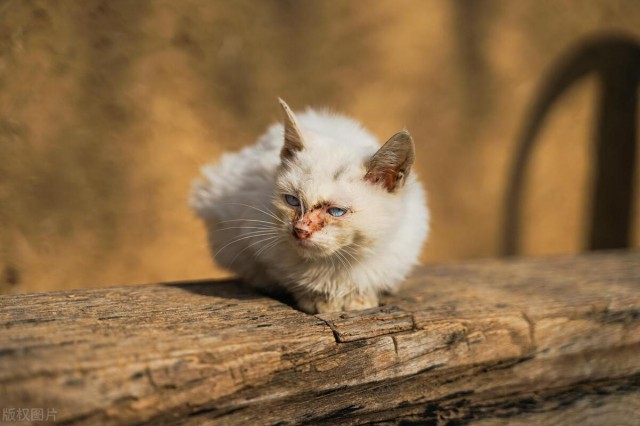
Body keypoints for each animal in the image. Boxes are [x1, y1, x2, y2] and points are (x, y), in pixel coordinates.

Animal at [191, 99, 430, 312]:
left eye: (336, 211)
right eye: (292, 201)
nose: (300, 230)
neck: (335, 264)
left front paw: (358, 299)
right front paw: (320, 300)